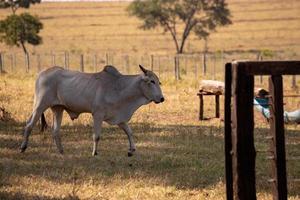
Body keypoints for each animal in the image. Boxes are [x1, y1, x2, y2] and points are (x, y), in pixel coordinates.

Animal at [20, 65, 164, 157]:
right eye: (152, 81)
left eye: (159, 82)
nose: (162, 98)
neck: (118, 87)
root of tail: (42, 73)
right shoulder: (97, 115)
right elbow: (97, 136)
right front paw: (94, 153)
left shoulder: (119, 118)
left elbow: (130, 132)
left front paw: (131, 150)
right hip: (40, 105)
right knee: (29, 125)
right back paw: (23, 147)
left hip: (58, 109)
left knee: (55, 131)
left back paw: (61, 152)